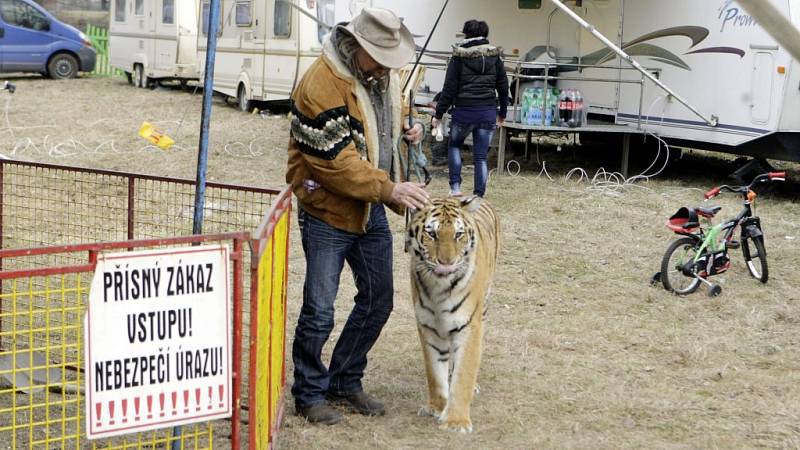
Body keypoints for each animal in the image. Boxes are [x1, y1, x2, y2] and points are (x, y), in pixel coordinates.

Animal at [406, 196, 500, 432]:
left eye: (458, 234)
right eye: (432, 234)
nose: (446, 263)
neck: (440, 288)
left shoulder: (469, 327)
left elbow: (463, 373)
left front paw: (456, 421)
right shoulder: (428, 327)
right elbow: (435, 372)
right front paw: (437, 408)